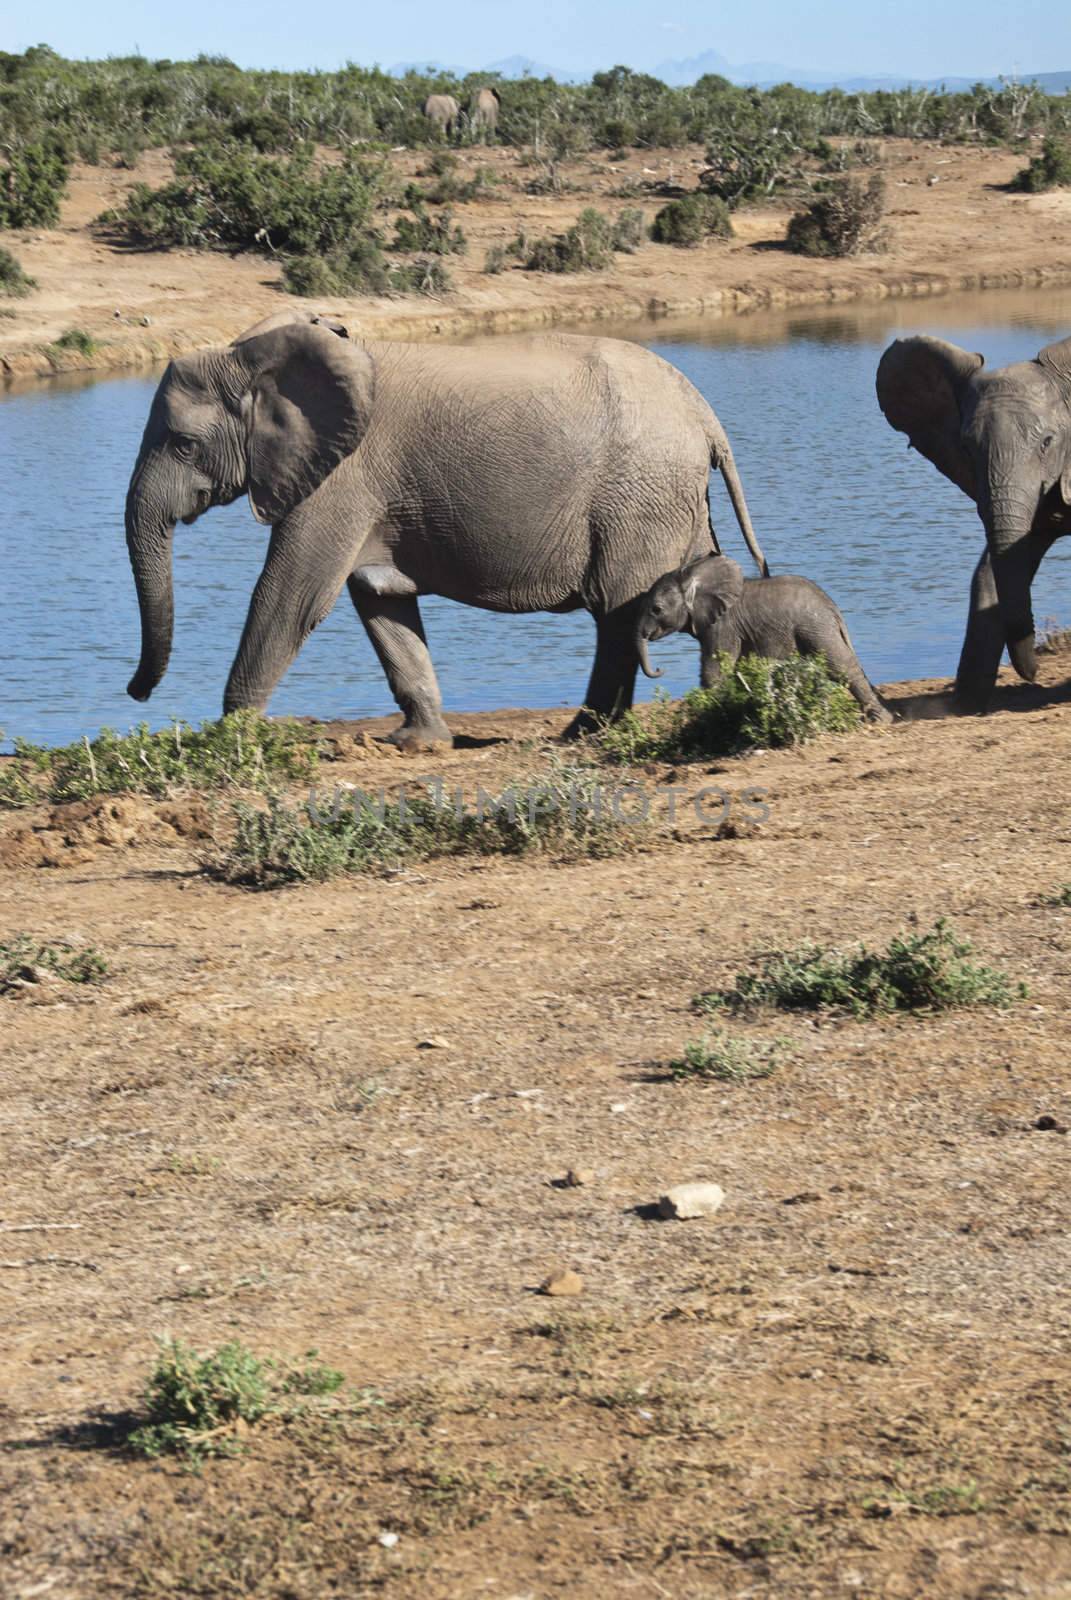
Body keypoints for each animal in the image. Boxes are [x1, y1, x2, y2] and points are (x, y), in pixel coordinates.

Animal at [120, 312, 768, 748]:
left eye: (184, 444)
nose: (135, 692)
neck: (257, 355)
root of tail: (704, 414)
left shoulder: (342, 477)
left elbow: (292, 596)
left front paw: (229, 741)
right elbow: (379, 599)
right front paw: (418, 744)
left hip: (639, 495)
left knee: (616, 612)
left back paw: (581, 734)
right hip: (671, 496)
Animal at [633, 553, 896, 723]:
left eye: (656, 609)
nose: (660, 668)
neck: (694, 576)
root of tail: (833, 608)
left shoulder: (723, 626)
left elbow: (715, 672)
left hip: (815, 627)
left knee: (841, 666)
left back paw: (880, 721)